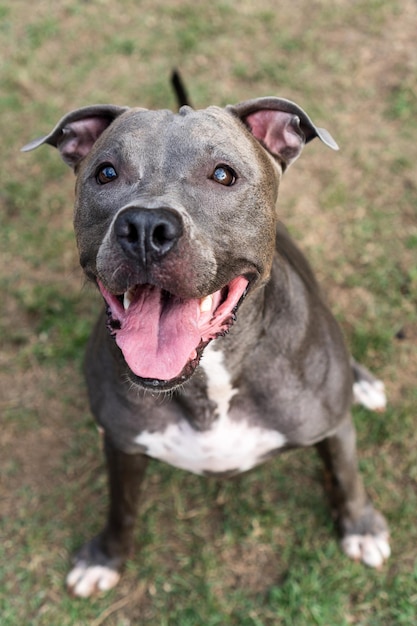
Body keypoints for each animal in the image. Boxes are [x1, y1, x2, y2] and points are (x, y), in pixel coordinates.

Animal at [22, 77, 386, 596]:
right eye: (106, 173)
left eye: (223, 175)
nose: (145, 226)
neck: (207, 376)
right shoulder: (121, 445)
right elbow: (122, 507)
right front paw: (105, 557)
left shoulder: (332, 427)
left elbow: (345, 473)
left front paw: (361, 527)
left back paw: (364, 383)